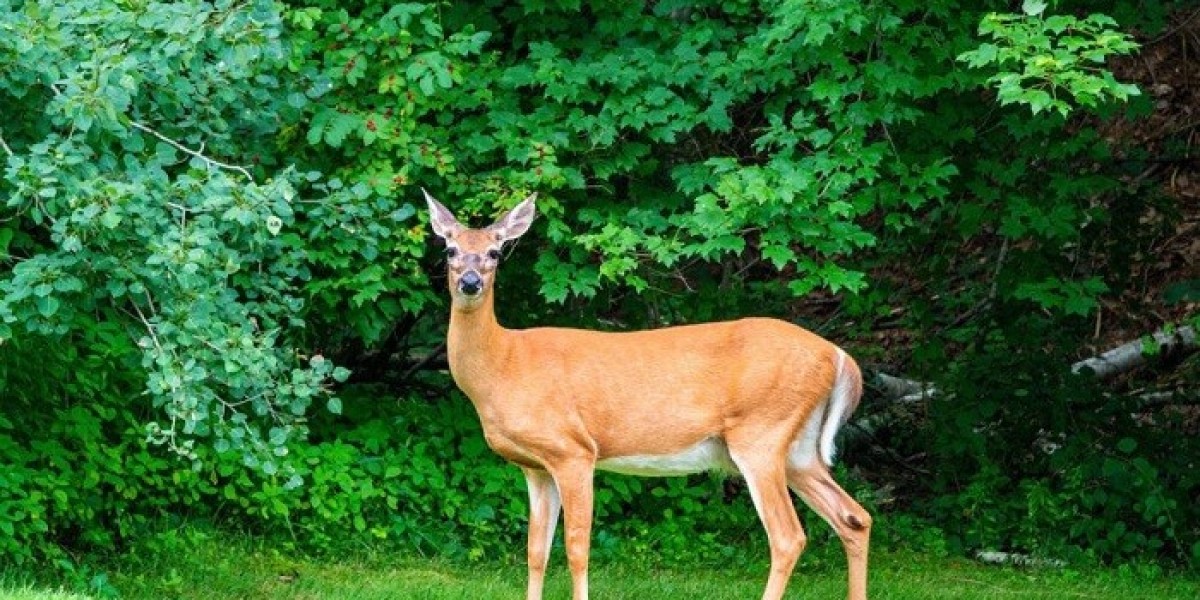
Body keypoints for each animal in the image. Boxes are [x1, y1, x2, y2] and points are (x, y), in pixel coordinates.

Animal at [424, 190, 872, 600]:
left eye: (496, 251)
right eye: (449, 249)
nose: (470, 282)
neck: (504, 366)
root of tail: (839, 356)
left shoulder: (574, 450)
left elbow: (577, 549)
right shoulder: (534, 466)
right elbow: (536, 551)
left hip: (762, 433)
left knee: (788, 536)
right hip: (798, 450)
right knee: (854, 517)